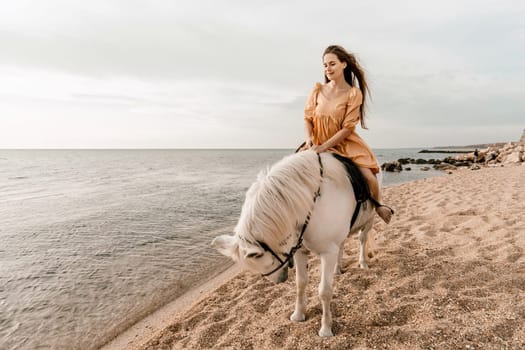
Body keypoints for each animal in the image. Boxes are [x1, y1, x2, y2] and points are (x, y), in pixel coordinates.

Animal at [211, 150, 378, 336]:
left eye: (265, 263)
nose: (279, 280)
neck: (311, 205)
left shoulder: (327, 253)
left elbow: (325, 291)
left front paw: (326, 328)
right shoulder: (299, 251)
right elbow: (300, 283)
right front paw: (298, 314)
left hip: (369, 220)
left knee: (362, 239)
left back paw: (363, 263)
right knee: (341, 245)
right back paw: (337, 269)